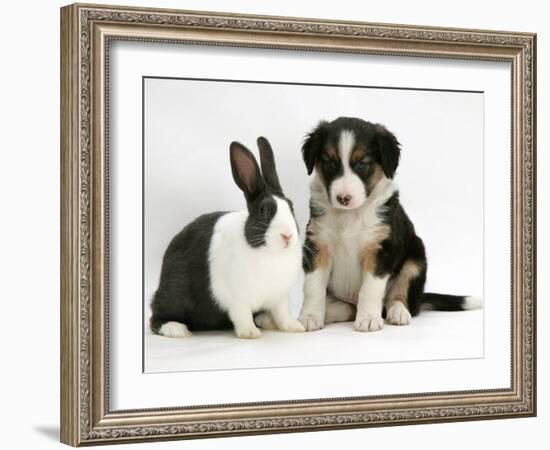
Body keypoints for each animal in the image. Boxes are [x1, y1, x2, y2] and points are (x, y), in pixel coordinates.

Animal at [150, 137, 306, 338]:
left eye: (291, 207)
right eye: (263, 211)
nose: (287, 235)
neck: (269, 252)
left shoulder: (280, 298)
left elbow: (283, 314)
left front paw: (295, 327)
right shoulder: (238, 300)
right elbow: (242, 316)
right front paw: (250, 333)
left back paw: (266, 321)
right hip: (173, 293)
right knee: (156, 316)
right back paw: (176, 329)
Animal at [298, 118, 484, 332]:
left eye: (362, 164)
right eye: (329, 162)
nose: (343, 198)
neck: (350, 214)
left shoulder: (380, 250)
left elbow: (370, 289)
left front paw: (369, 319)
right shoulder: (318, 245)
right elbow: (313, 287)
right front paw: (310, 316)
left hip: (415, 259)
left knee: (397, 299)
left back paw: (398, 312)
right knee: (348, 309)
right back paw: (329, 313)